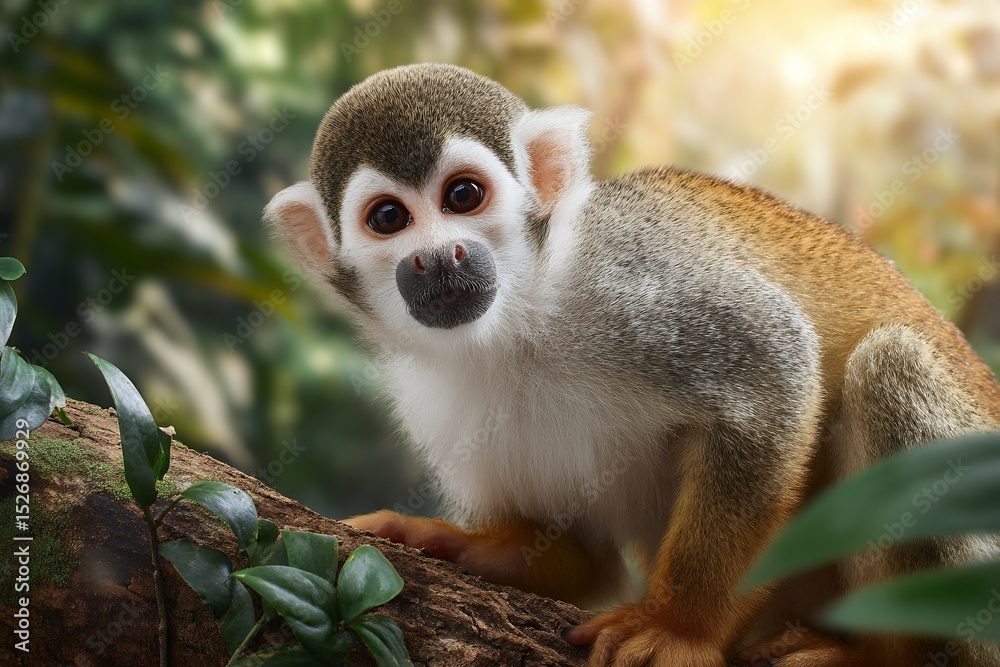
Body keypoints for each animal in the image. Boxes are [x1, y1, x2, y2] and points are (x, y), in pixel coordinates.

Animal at [263, 63, 1000, 666]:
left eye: (463, 196)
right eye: (388, 217)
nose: (438, 257)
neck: (517, 319)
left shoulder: (627, 284)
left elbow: (774, 370)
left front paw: (680, 627)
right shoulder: (433, 396)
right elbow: (583, 565)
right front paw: (445, 542)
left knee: (891, 363)